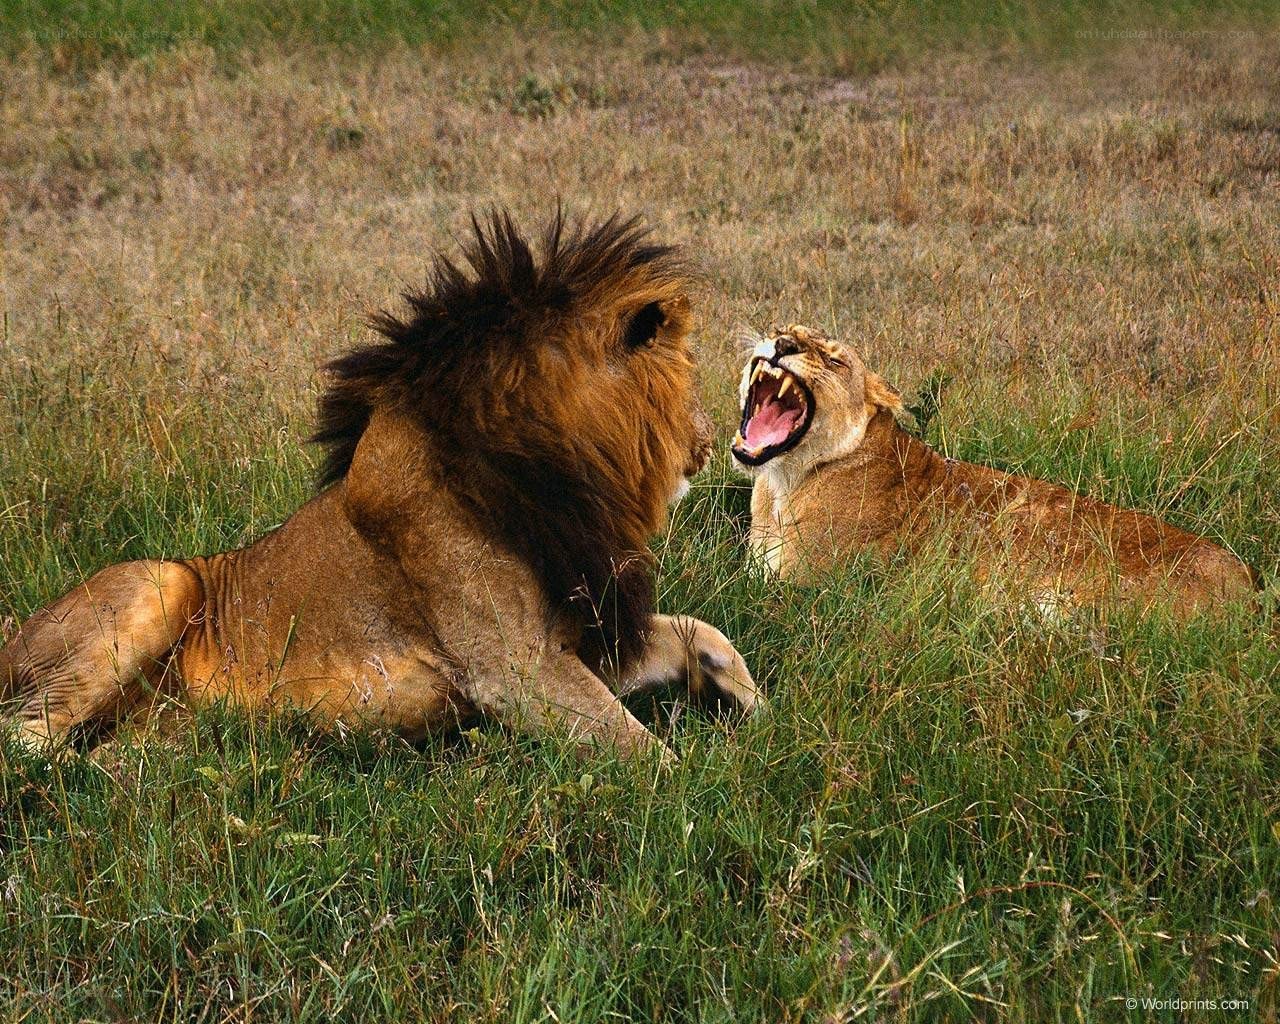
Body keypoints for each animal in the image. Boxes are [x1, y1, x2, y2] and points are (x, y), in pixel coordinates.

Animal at [1, 211, 759, 758]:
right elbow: (646, 756)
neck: (555, 479)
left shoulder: (582, 634)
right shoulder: (513, 669)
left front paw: (751, 701)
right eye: (691, 374)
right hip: (159, 585)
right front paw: (717, 793)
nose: (709, 445)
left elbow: (697, 629)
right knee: (27, 741)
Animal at [731, 323, 1258, 615]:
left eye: (835, 360)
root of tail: (1249, 586)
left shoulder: (800, 586)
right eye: (783, 326)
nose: (781, 343)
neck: (783, 484)